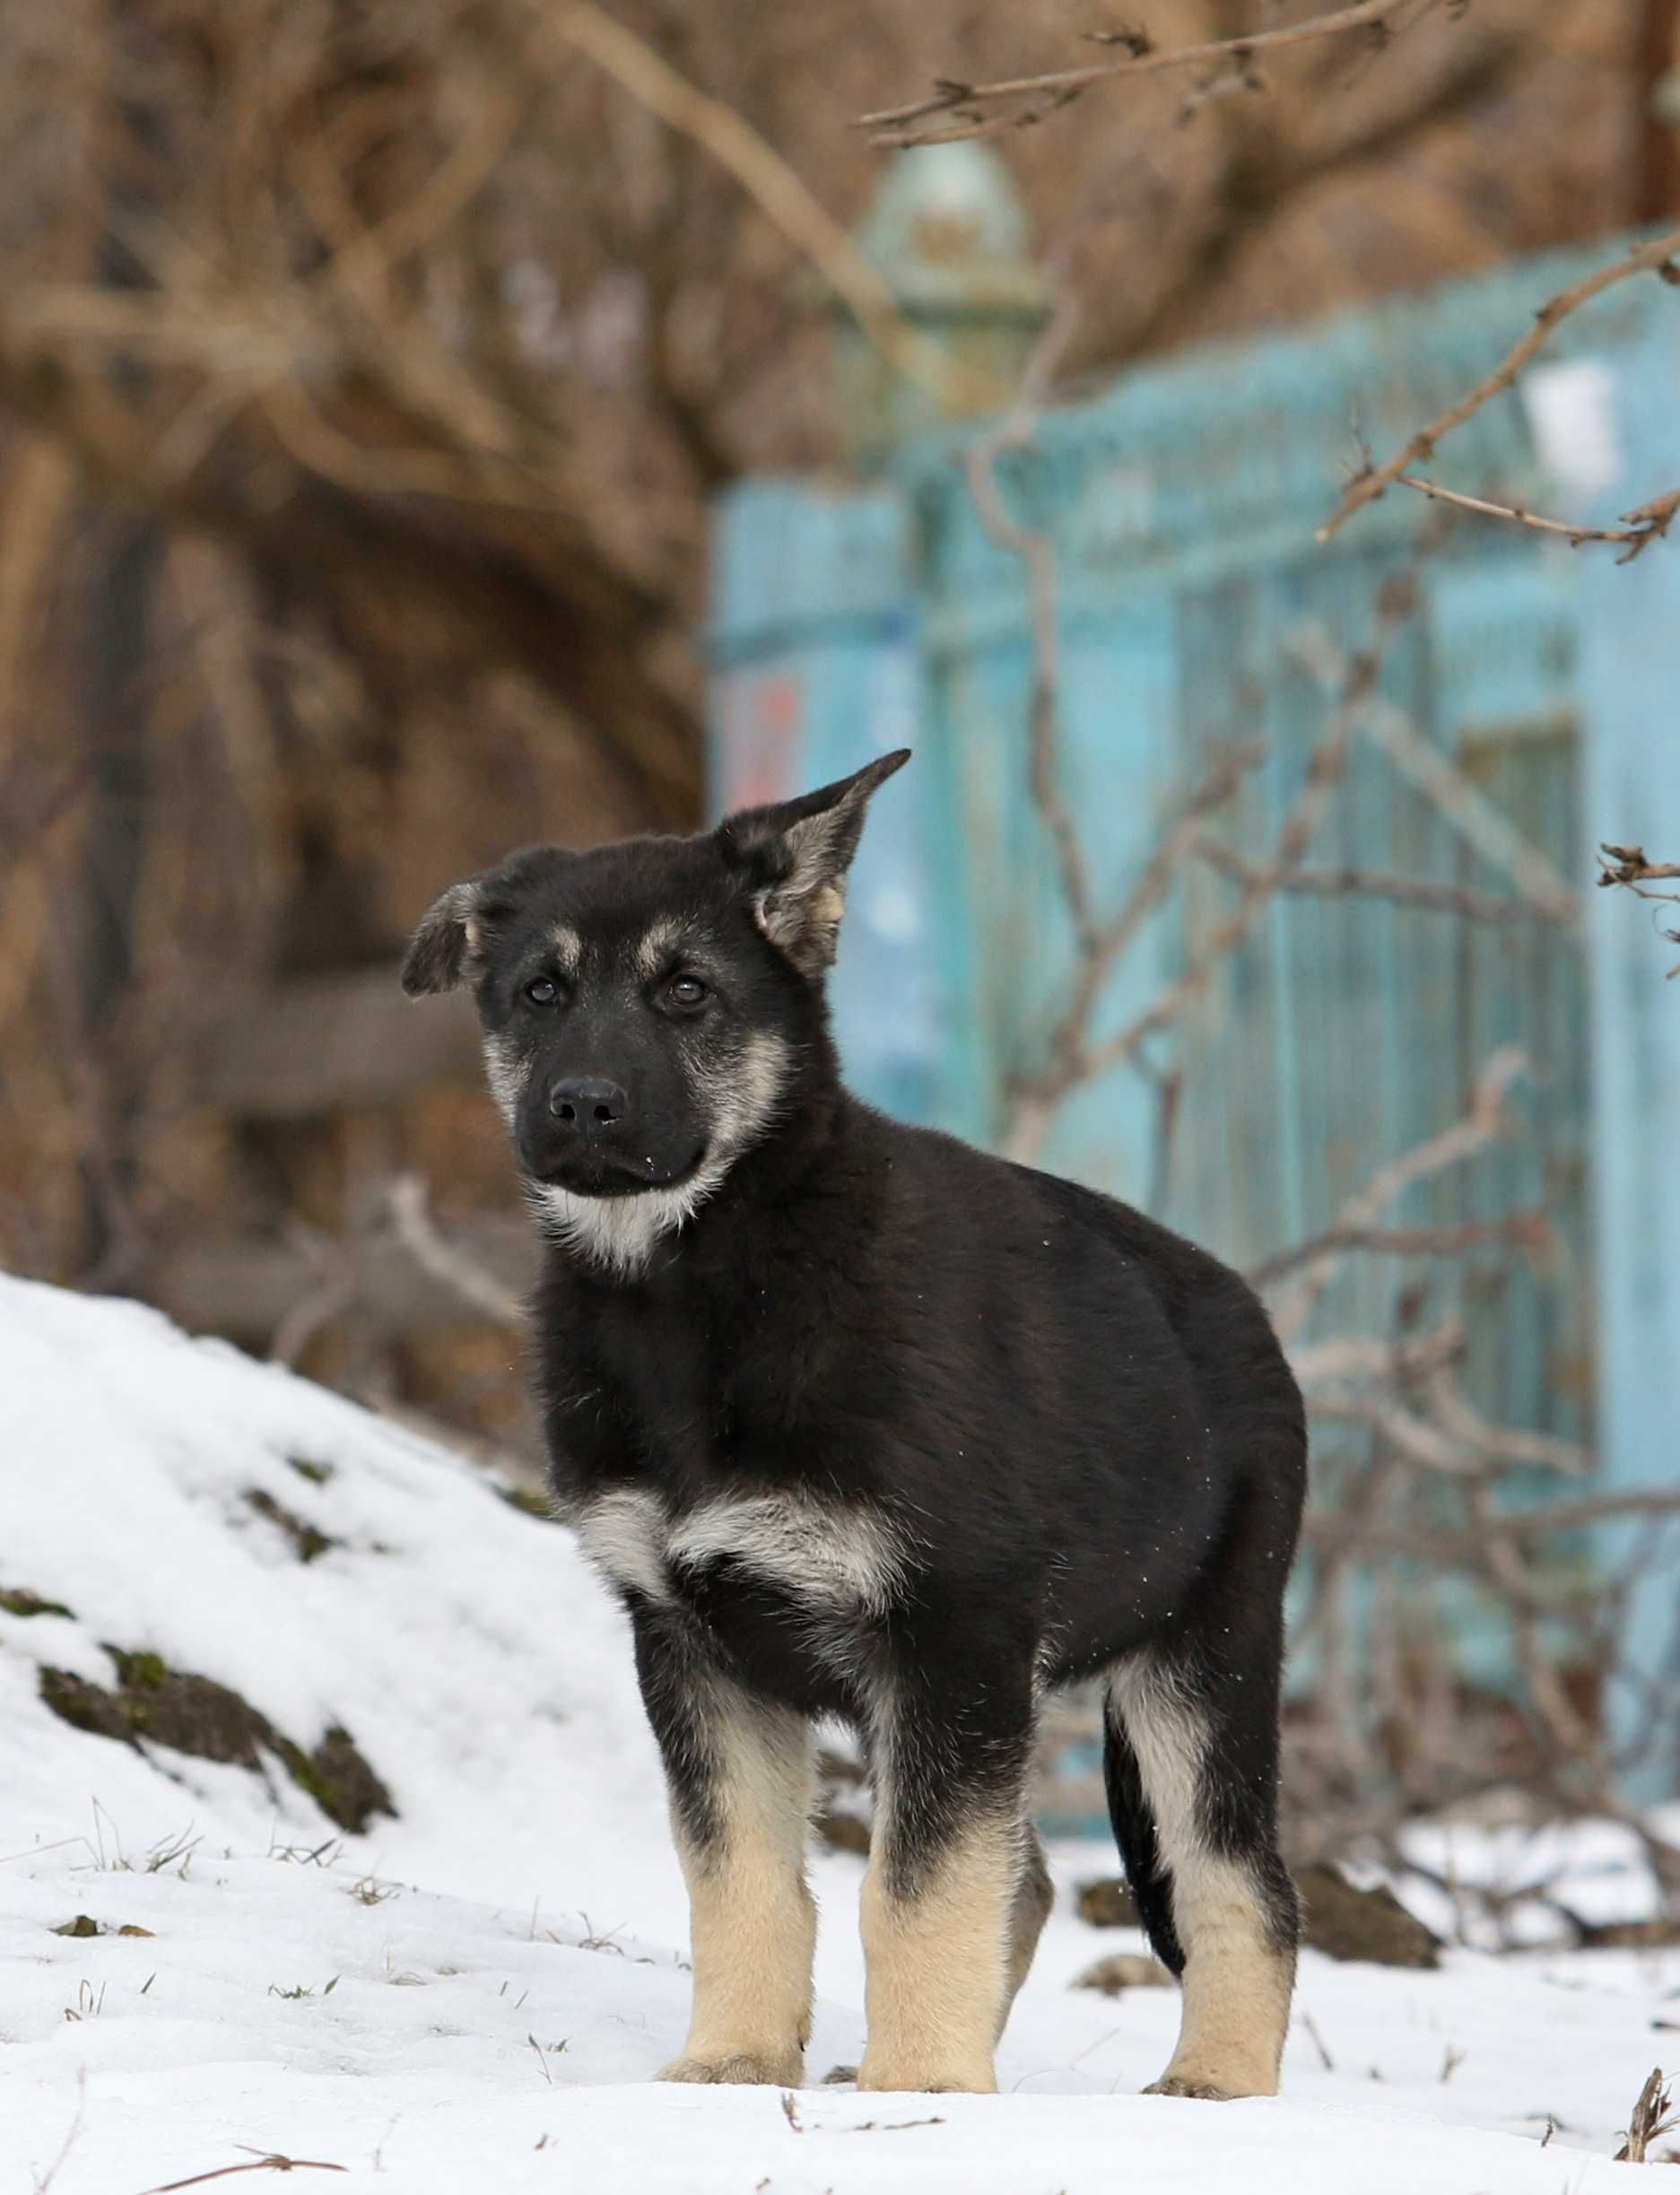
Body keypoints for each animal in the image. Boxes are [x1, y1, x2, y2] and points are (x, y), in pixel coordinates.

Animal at [399, 750, 1300, 2089]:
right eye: (539, 991)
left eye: (686, 990)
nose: (583, 1105)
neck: (704, 1287)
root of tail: (1249, 1316)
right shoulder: (696, 1648)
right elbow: (743, 1879)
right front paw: (733, 2061)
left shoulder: (953, 1632)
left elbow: (916, 1887)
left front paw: (919, 2087)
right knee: (1036, 1877)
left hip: (1203, 1660)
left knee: (1241, 1882)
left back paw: (1217, 2085)